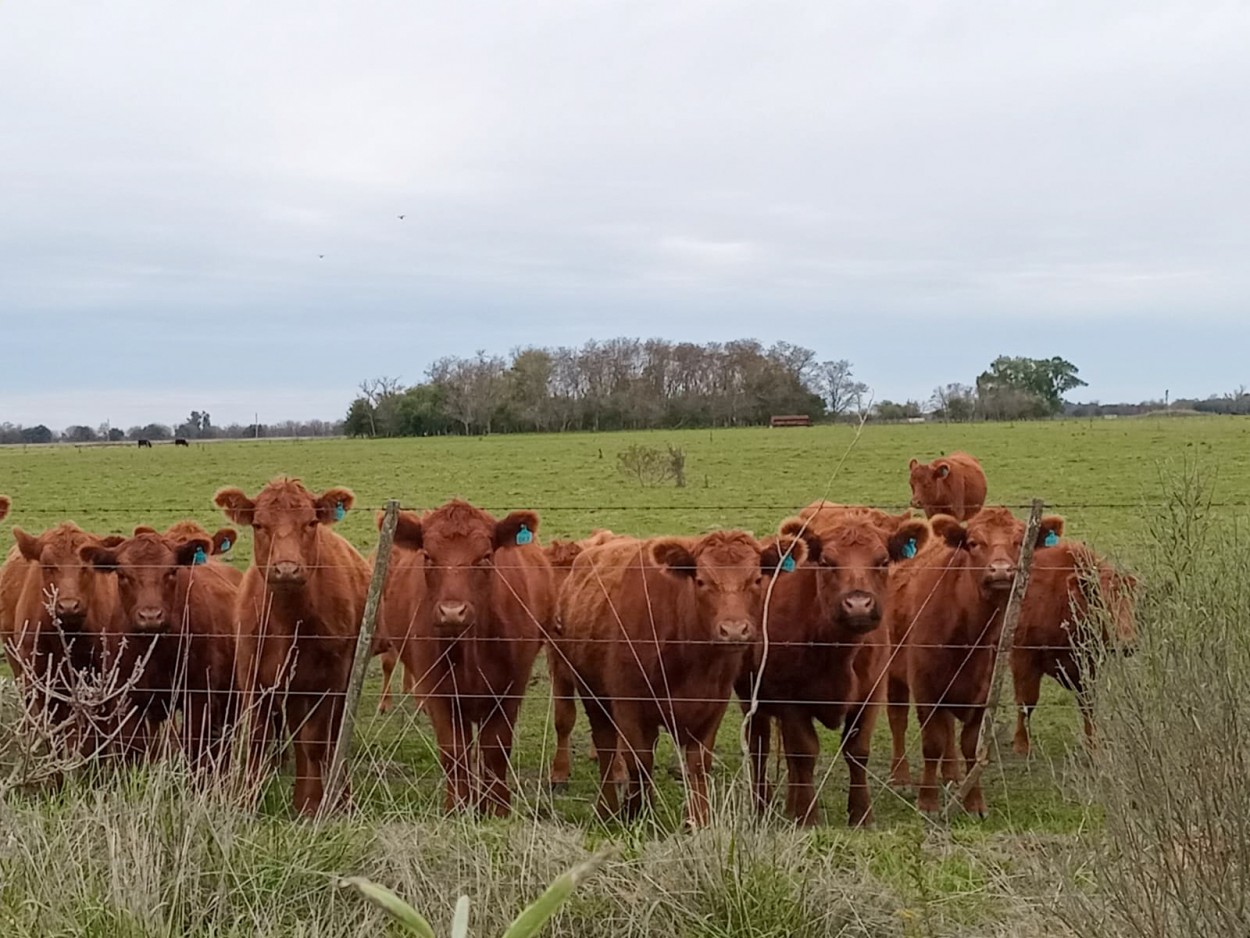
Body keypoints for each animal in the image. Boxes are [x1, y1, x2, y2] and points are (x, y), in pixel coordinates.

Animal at [80, 530, 238, 770]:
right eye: (122, 574)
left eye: (171, 571)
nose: (150, 616)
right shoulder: (127, 699)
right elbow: (133, 751)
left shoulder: (199, 696)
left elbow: (194, 749)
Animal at [213, 477, 370, 815]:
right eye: (258, 525)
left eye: (311, 522)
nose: (286, 569)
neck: (289, 624)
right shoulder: (253, 678)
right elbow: (259, 738)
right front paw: (246, 801)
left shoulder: (328, 681)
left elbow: (316, 741)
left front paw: (310, 804)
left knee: (331, 737)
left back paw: (340, 796)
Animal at [735, 507, 935, 830]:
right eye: (827, 561)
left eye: (882, 561)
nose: (858, 604)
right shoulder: (791, 701)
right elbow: (804, 752)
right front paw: (808, 817)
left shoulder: (871, 693)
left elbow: (857, 751)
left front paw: (862, 814)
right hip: (750, 697)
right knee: (759, 747)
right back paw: (761, 806)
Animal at [885, 502, 1060, 820]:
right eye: (974, 543)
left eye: (1019, 542)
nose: (1001, 570)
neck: (967, 632)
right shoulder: (926, 689)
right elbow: (931, 744)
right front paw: (927, 801)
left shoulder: (983, 693)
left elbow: (969, 745)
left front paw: (974, 802)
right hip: (893, 671)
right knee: (898, 719)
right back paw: (901, 775)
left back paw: (952, 775)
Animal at [1010, 542, 1140, 755]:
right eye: (1101, 602)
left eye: (1130, 601)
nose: (1128, 644)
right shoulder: (1023, 656)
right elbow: (1026, 700)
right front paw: (1021, 744)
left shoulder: (1089, 664)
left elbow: (1088, 704)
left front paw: (1093, 745)